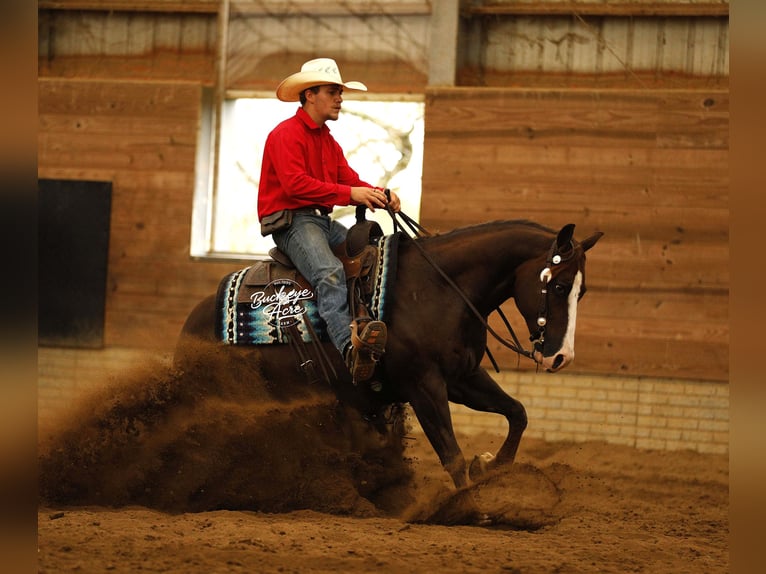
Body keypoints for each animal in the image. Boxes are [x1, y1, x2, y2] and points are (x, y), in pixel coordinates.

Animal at [175, 219, 603, 500]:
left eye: (582, 292)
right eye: (560, 286)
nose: (561, 356)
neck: (440, 289)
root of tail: (191, 325)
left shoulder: (463, 377)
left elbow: (517, 413)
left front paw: (491, 465)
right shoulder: (424, 385)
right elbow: (452, 455)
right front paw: (469, 505)